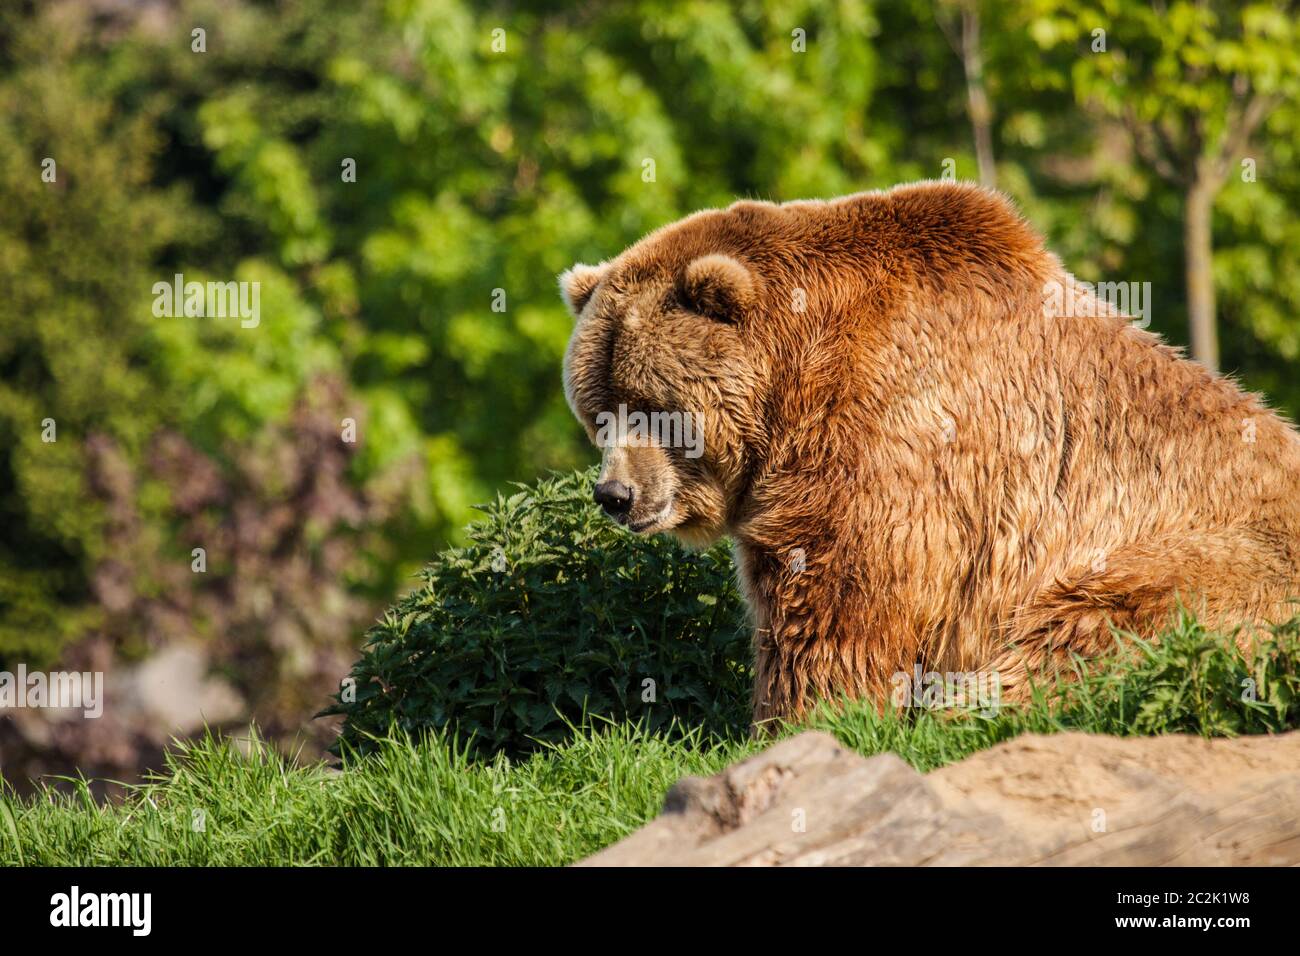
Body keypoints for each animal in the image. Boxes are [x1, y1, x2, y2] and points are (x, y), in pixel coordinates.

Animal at [559, 180, 1300, 723]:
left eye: (656, 407)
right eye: (599, 412)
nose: (615, 495)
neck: (795, 376)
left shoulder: (893, 426)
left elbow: (838, 586)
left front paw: (803, 715)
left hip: (1219, 558)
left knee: (1095, 622)